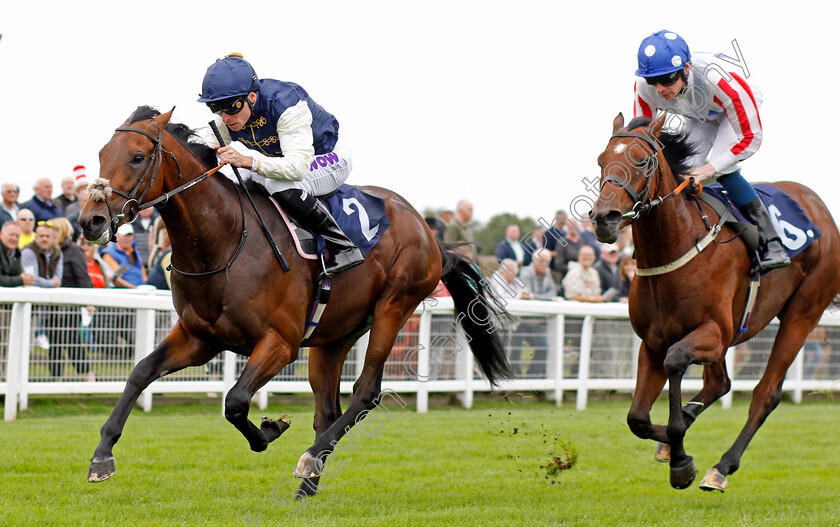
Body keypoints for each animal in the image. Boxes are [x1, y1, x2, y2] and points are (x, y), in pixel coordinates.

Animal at [80, 106, 512, 496]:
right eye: (101, 154)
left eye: (137, 157)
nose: (91, 221)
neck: (224, 240)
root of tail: (428, 231)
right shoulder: (198, 339)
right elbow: (140, 373)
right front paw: (102, 457)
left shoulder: (280, 342)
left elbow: (236, 400)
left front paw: (270, 430)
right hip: (333, 336)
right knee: (327, 411)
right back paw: (309, 483)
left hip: (394, 307)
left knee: (366, 392)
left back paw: (309, 459)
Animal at [592, 112, 840, 490]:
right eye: (600, 160)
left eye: (643, 161)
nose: (605, 218)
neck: (678, 246)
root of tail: (819, 206)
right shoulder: (653, 341)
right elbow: (637, 418)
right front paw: (672, 443)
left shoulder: (714, 332)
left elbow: (676, 361)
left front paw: (680, 459)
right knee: (720, 383)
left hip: (802, 314)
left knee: (765, 393)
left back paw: (721, 467)